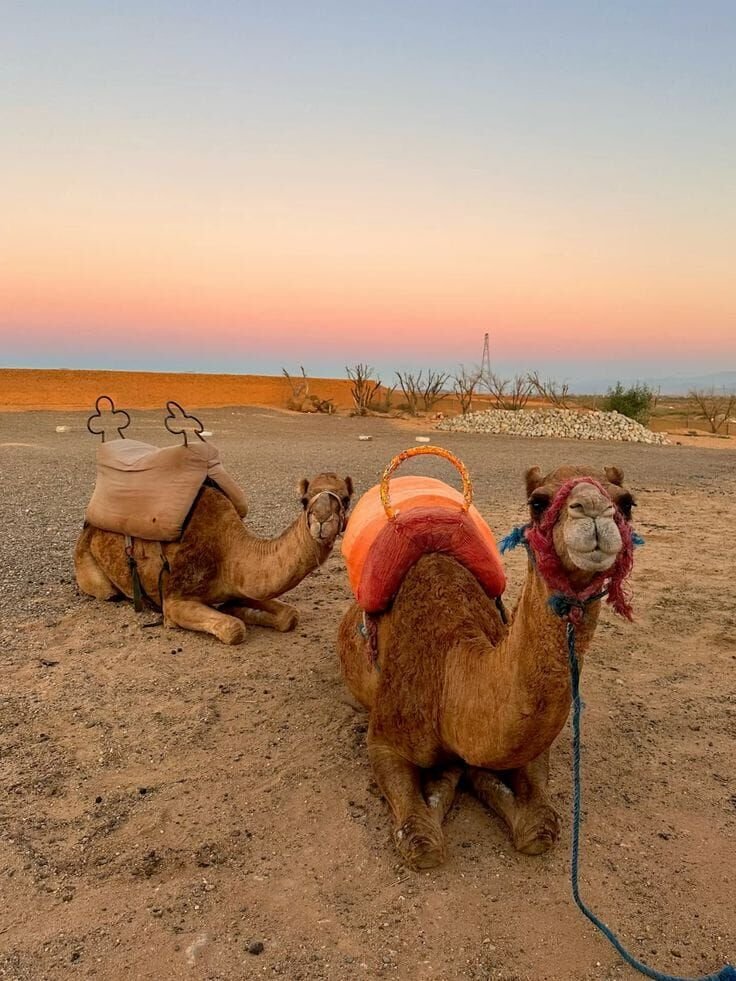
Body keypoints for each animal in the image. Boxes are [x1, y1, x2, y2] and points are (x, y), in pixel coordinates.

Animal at [76, 472, 354, 644]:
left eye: (346, 498)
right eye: (304, 500)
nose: (322, 519)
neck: (226, 550)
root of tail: (88, 527)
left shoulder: (240, 583)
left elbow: (290, 615)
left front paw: (236, 608)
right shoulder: (174, 600)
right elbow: (234, 629)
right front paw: (234, 614)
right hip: (90, 568)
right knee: (107, 592)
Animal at [337, 464, 636, 868]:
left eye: (627, 502)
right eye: (538, 502)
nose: (592, 512)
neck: (451, 666)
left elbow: (539, 827)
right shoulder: (385, 739)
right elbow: (421, 841)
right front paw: (446, 780)